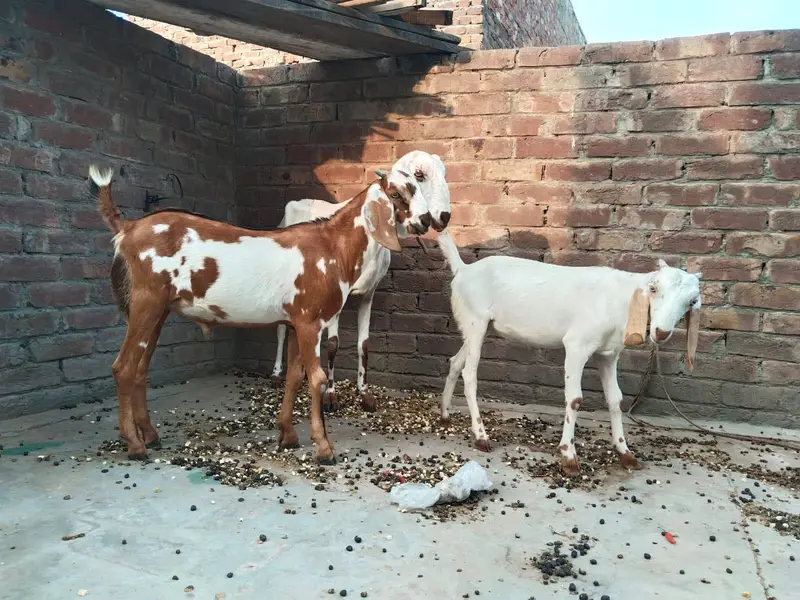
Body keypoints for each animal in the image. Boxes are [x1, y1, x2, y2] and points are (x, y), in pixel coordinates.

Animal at [90, 163, 434, 463]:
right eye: (395, 193)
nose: (427, 221)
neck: (332, 247)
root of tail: (128, 228)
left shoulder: (296, 322)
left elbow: (294, 377)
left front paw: (288, 435)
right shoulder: (311, 321)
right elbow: (317, 379)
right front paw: (323, 448)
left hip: (158, 310)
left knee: (140, 368)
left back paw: (150, 435)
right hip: (145, 301)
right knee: (123, 367)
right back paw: (135, 445)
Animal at [269, 151, 452, 414]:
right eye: (419, 175)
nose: (442, 217)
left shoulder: (368, 293)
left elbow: (363, 345)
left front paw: (365, 394)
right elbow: (333, 344)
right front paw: (330, 397)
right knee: (282, 328)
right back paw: (276, 375)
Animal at [436, 231, 702, 475]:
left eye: (692, 301)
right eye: (653, 289)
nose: (661, 332)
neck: (619, 299)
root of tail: (463, 269)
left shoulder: (608, 353)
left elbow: (615, 398)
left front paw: (625, 452)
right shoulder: (577, 345)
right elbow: (574, 399)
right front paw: (569, 456)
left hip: (476, 326)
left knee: (455, 362)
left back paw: (445, 414)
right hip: (476, 320)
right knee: (469, 373)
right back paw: (481, 436)